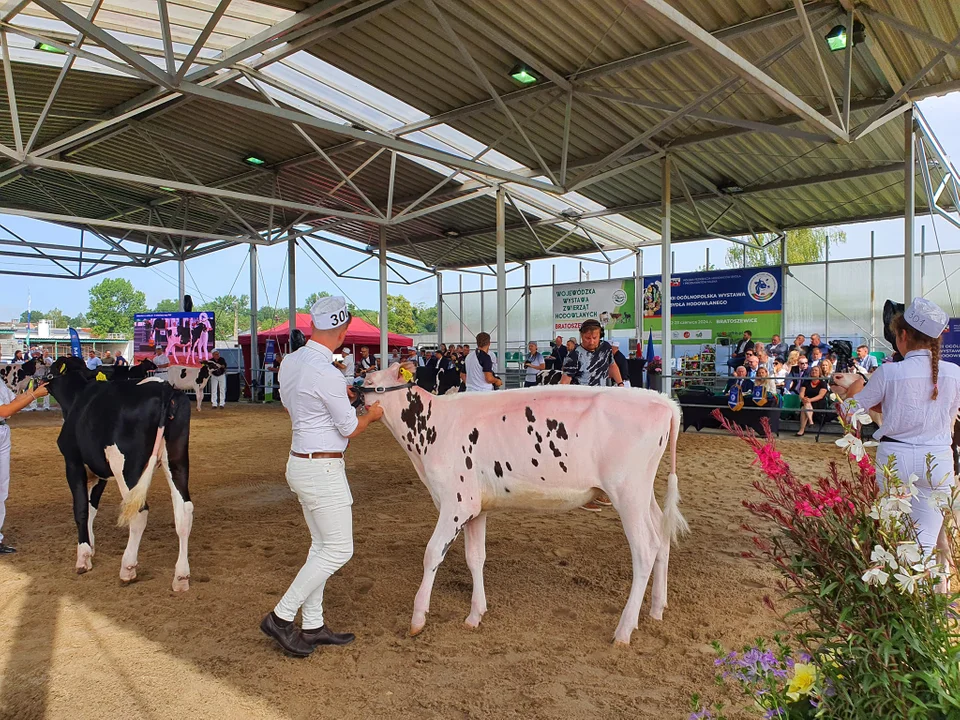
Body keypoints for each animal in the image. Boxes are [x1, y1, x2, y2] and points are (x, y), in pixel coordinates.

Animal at [43, 358, 195, 592]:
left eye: (51, 370)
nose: (39, 379)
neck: (77, 398)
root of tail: (165, 388)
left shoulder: (73, 462)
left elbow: (81, 509)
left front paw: (83, 557)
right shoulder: (100, 472)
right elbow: (92, 507)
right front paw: (91, 547)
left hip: (127, 468)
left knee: (139, 511)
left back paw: (128, 568)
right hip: (177, 461)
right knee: (184, 510)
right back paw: (181, 577)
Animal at [360, 362, 684, 644]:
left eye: (374, 377)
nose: (357, 388)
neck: (433, 429)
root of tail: (660, 400)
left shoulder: (456, 504)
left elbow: (432, 554)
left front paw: (417, 619)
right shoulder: (476, 508)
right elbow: (475, 558)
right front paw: (475, 615)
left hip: (627, 493)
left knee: (645, 548)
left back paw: (624, 630)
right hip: (642, 493)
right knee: (662, 534)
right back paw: (657, 608)